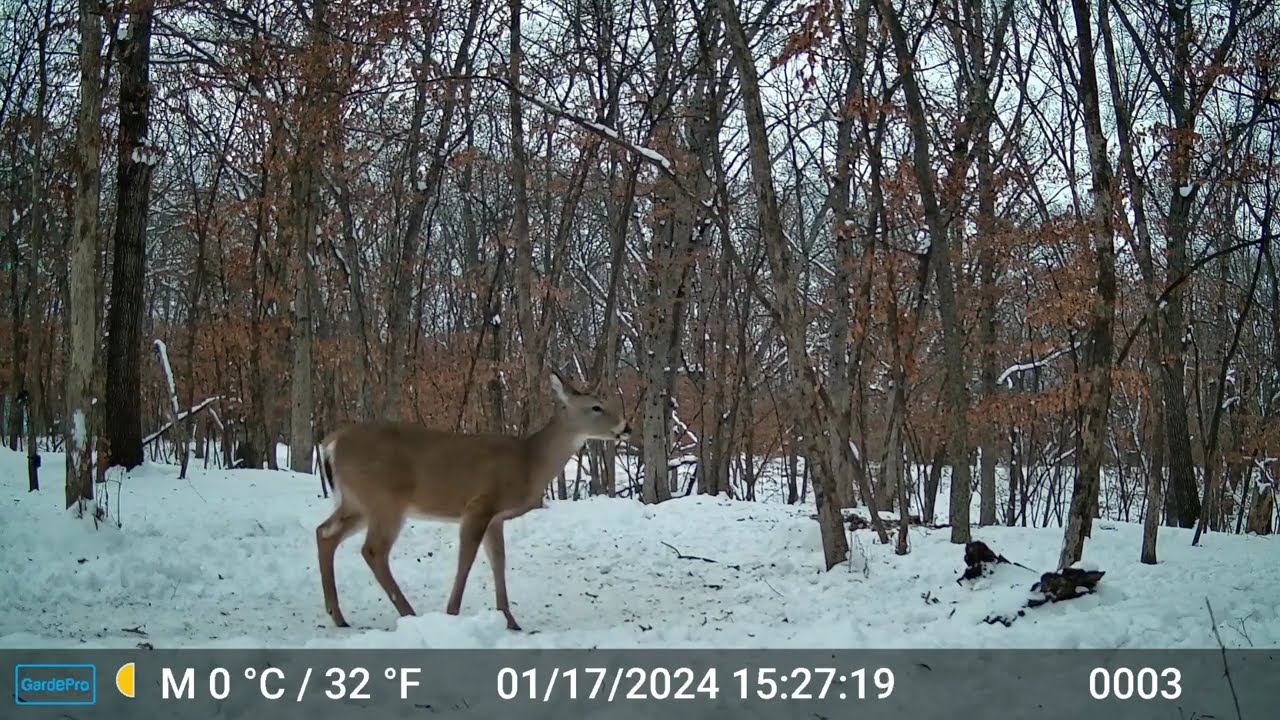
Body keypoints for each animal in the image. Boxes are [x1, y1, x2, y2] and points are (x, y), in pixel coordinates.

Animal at [314, 369, 631, 631]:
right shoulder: (479, 505)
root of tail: (331, 443)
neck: (529, 462)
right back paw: (408, 613)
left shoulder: (496, 517)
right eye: (597, 406)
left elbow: (499, 561)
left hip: (355, 502)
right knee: (372, 550)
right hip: (384, 500)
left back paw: (338, 615)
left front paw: (510, 620)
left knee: (325, 533)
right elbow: (466, 559)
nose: (626, 427)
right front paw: (452, 613)